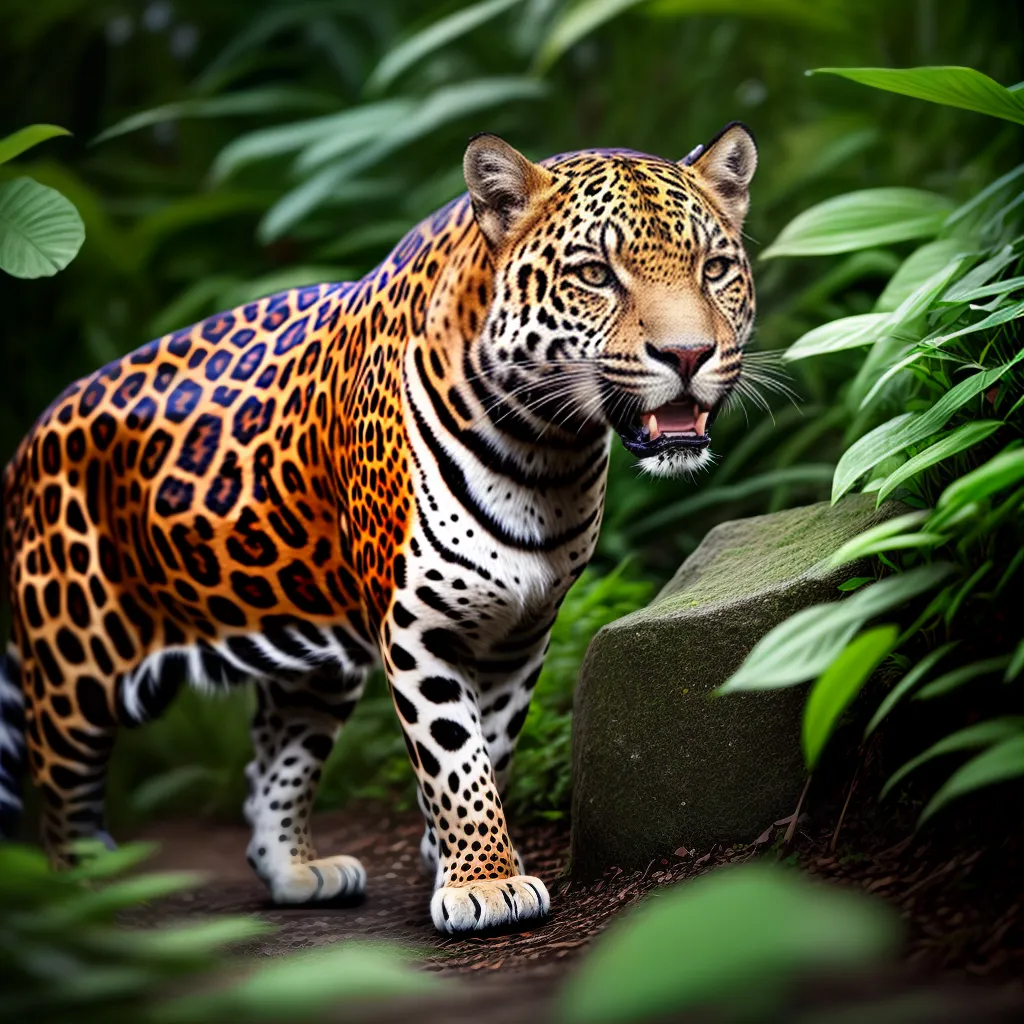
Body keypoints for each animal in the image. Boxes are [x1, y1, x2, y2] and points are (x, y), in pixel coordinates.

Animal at [0, 123, 757, 933]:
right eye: (594, 273)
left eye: (713, 269)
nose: (689, 355)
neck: (546, 450)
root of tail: (26, 442)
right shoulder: (417, 623)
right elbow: (453, 752)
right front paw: (484, 880)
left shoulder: (522, 629)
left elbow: (494, 741)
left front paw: (452, 855)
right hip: (73, 667)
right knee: (64, 796)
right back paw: (83, 897)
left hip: (309, 665)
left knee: (274, 764)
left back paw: (295, 871)